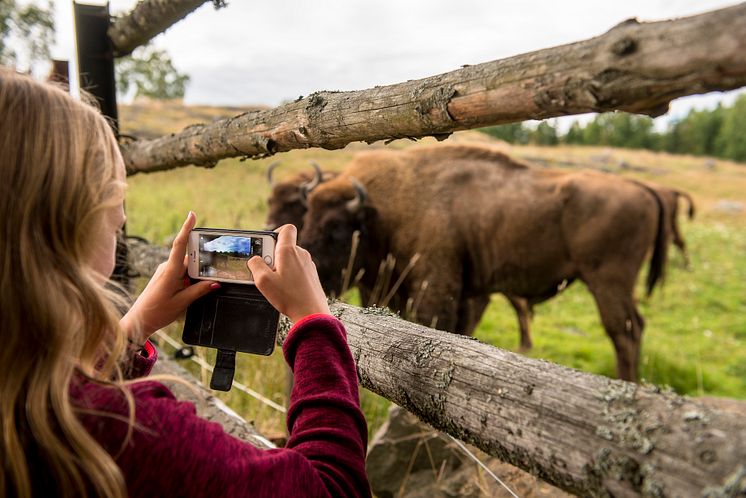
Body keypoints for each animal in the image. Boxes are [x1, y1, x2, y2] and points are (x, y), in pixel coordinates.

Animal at [294, 144, 664, 382]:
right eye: (307, 215)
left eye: (335, 229)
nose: (309, 264)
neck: (387, 207)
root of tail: (641, 187)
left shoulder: (436, 286)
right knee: (636, 326)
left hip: (607, 282)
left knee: (623, 331)